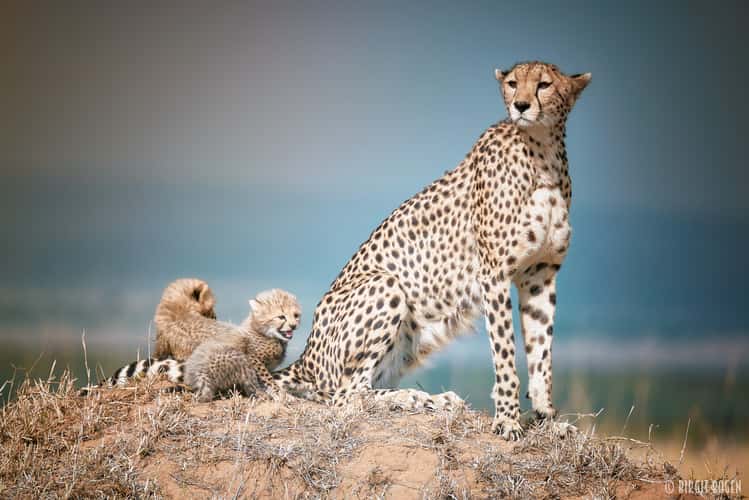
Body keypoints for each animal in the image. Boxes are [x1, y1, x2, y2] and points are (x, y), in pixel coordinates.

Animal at [273, 61, 591, 440]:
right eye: (513, 84)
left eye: (544, 84)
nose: (521, 106)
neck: (542, 154)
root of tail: (306, 357)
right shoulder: (494, 275)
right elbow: (505, 354)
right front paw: (507, 420)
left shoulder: (540, 275)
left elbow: (542, 354)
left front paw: (548, 420)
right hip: (385, 284)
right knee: (346, 394)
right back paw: (413, 398)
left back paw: (432, 400)